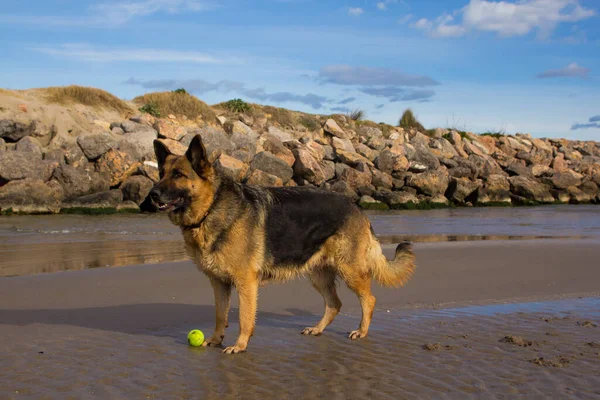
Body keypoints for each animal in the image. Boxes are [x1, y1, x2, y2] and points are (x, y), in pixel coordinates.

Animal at [150, 136, 414, 354]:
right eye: (161, 173)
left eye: (178, 175)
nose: (152, 195)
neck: (211, 208)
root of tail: (356, 207)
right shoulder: (219, 283)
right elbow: (219, 315)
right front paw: (216, 340)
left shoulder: (245, 283)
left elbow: (245, 318)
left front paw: (240, 345)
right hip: (318, 275)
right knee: (334, 304)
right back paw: (318, 329)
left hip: (350, 271)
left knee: (369, 300)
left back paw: (362, 331)